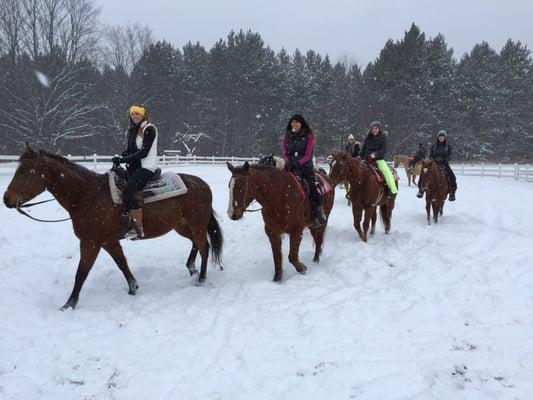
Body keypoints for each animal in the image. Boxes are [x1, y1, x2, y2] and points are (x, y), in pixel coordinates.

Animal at [2, 145, 222, 310]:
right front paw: (133, 288)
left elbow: (81, 272)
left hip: (196, 224)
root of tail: (203, 185)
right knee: (196, 244)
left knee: (204, 247)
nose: (6, 199)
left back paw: (201, 278)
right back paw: (191, 268)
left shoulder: (90, 243)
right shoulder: (109, 242)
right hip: (182, 226)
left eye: (26, 170)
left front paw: (69, 305)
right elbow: (122, 264)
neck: (90, 196)